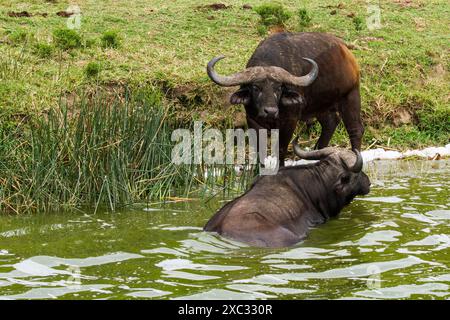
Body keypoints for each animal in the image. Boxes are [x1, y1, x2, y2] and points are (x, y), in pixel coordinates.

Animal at [207, 31, 366, 165]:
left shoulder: (290, 121)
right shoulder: (252, 120)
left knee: (355, 129)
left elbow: (281, 149)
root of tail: (345, 51)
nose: (270, 111)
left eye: (279, 88)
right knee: (331, 122)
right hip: (321, 105)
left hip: (351, 96)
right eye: (255, 87)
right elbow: (260, 149)